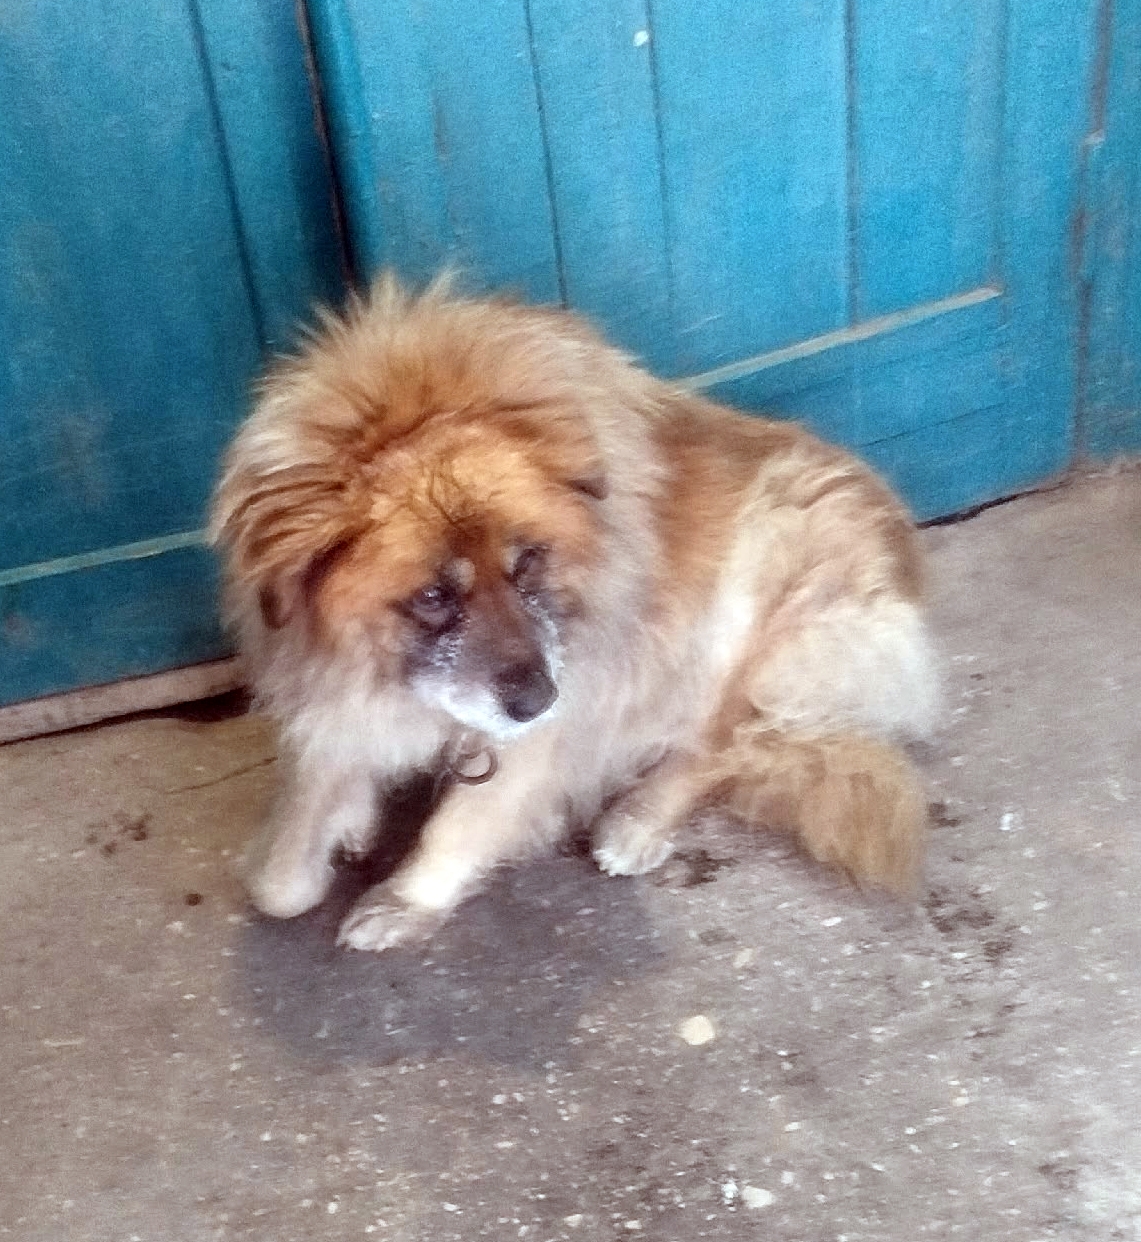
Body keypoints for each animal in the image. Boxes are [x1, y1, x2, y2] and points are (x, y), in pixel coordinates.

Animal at [210, 276, 938, 951]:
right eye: (434, 597)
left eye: (528, 561)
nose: (536, 699)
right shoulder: (328, 691)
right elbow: (281, 879)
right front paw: (340, 824)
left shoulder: (557, 714)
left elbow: (461, 822)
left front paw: (407, 900)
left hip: (761, 584)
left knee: (723, 740)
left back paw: (636, 820)